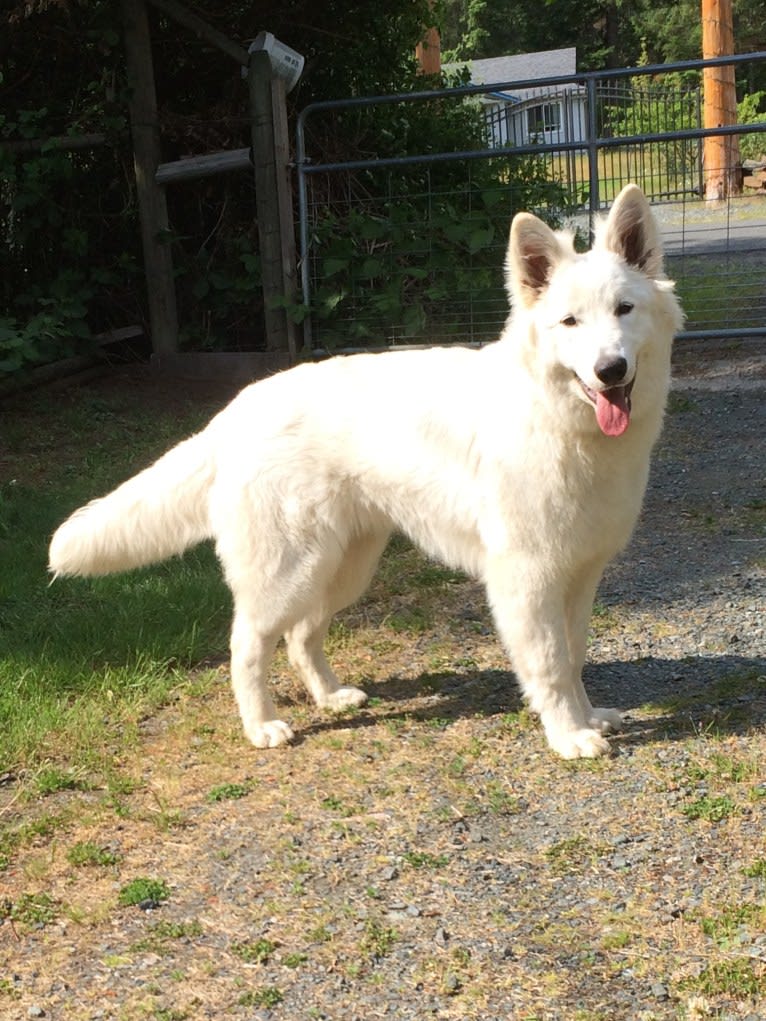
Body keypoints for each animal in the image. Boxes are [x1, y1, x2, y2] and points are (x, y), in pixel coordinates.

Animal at [48, 183, 682, 759]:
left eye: (624, 310)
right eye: (569, 322)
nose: (610, 370)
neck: (556, 419)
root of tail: (236, 411)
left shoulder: (579, 574)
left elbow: (574, 656)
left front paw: (589, 717)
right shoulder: (527, 579)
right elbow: (550, 664)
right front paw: (567, 735)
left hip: (343, 567)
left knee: (302, 635)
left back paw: (330, 698)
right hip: (290, 571)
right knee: (247, 643)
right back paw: (262, 726)